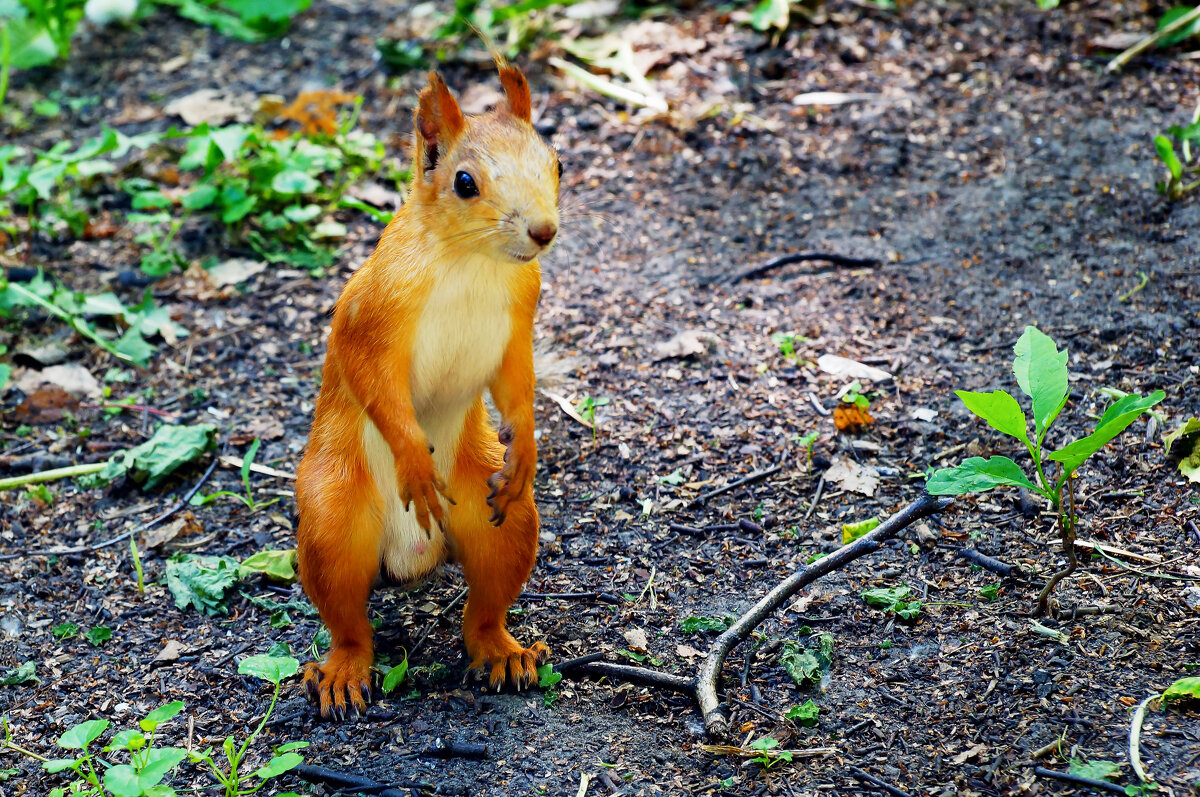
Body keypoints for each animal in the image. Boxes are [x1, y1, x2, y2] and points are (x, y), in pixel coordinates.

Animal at [300, 60, 561, 720]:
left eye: (557, 163)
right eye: (464, 181)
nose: (543, 231)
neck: (473, 262)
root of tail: (410, 557)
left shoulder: (519, 317)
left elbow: (517, 382)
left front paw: (527, 448)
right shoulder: (371, 317)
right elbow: (376, 386)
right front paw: (415, 463)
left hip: (499, 520)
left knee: (484, 607)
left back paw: (502, 652)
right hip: (332, 517)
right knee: (348, 620)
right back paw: (343, 672)